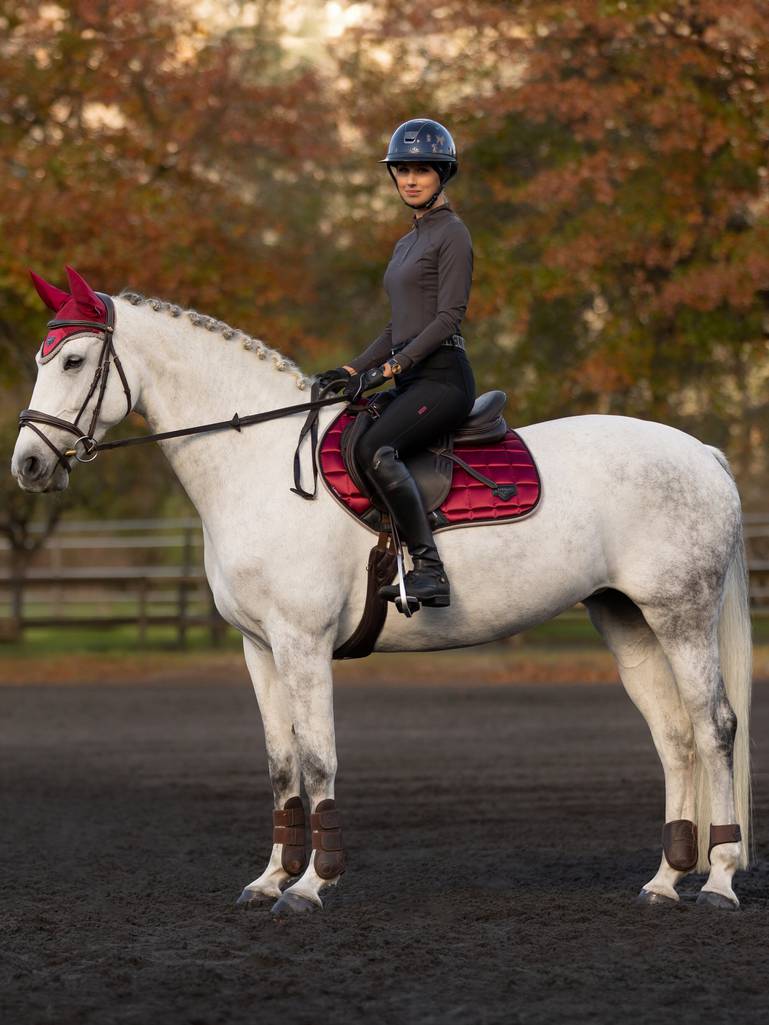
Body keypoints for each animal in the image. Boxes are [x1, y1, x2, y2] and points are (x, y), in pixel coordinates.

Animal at [11, 267, 752, 914]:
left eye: (72, 360)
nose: (29, 464)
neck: (259, 466)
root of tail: (701, 452)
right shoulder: (259, 647)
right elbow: (281, 763)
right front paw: (270, 879)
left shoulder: (302, 643)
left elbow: (317, 758)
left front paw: (312, 883)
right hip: (625, 618)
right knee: (673, 734)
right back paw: (664, 881)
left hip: (681, 616)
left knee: (713, 726)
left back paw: (717, 879)